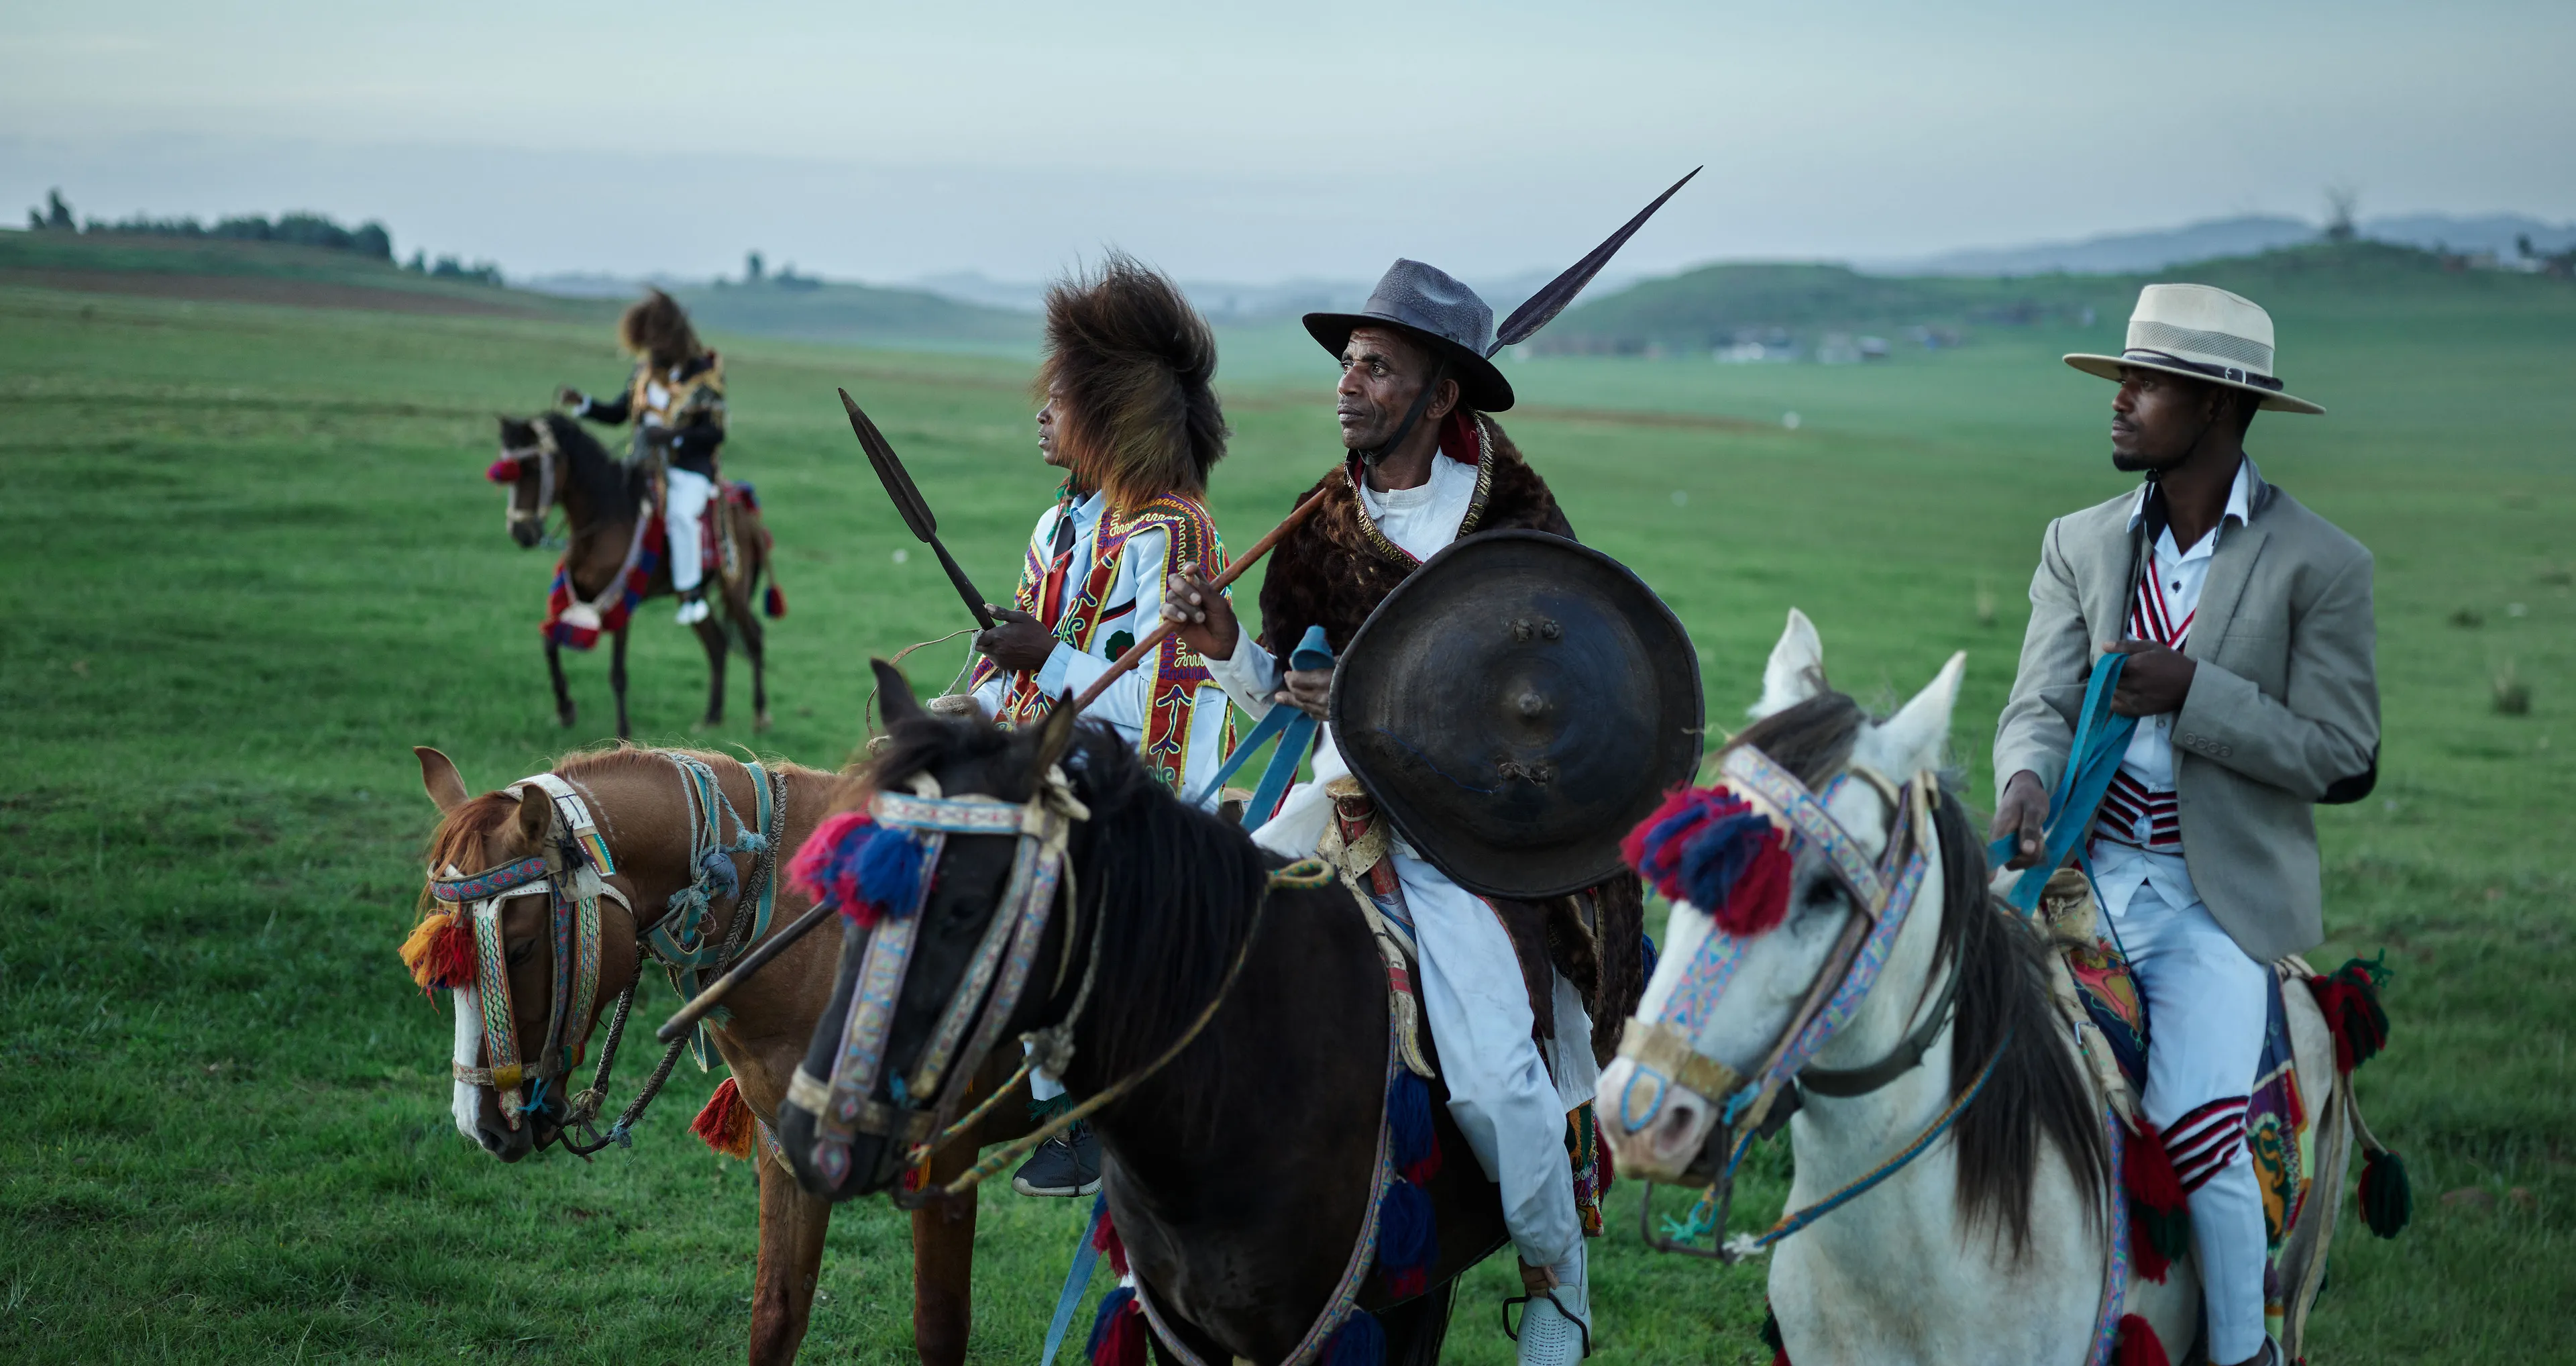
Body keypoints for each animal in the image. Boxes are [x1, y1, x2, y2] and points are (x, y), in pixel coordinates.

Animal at [407, 742, 1030, 1361]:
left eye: (520, 949)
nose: (480, 1125)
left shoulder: (946, 1156)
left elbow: (939, 1324)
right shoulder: (784, 1144)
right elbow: (776, 1316)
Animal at [486, 409, 773, 737]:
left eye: (534, 467)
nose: (521, 532)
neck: (603, 521)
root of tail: (746, 513)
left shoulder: (621, 603)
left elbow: (618, 672)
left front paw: (623, 732)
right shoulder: (578, 592)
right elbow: (550, 643)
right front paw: (565, 710)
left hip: (735, 589)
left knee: (754, 637)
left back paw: (761, 715)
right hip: (691, 595)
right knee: (717, 644)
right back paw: (712, 717)